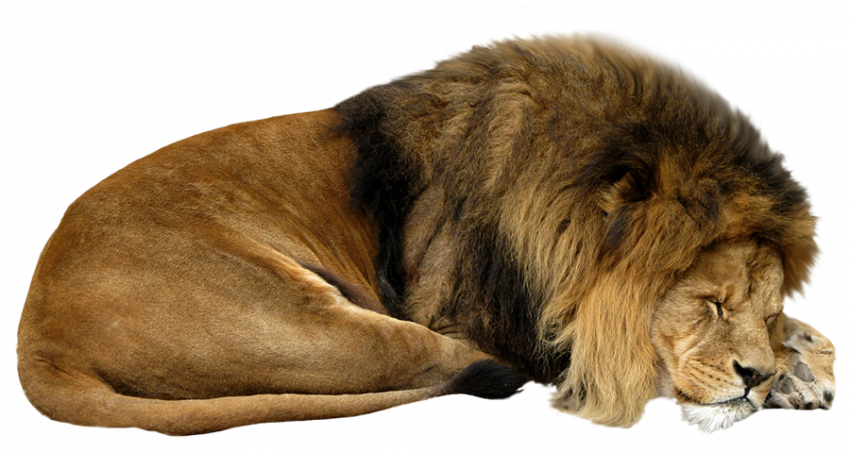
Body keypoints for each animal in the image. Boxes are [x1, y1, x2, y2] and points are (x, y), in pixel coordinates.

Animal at [15, 28, 836, 437]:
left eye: (764, 308)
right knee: (426, 359)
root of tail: (36, 331)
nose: (754, 376)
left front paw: (802, 363)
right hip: (304, 316)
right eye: (709, 303)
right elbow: (609, 352)